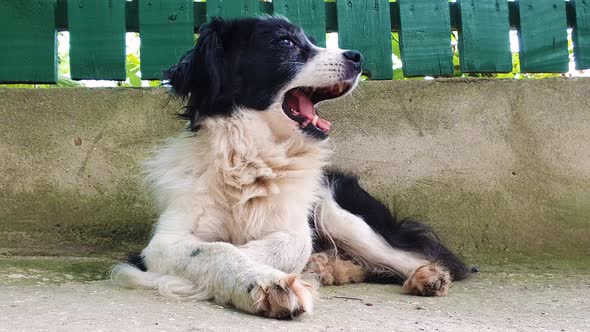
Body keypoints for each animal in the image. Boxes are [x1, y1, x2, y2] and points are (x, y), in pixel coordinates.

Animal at [112, 15, 472, 320]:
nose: (358, 57)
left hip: (340, 214)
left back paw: (426, 276)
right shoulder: (163, 242)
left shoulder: (294, 224)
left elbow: (294, 244)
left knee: (424, 259)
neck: (251, 160)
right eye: (285, 42)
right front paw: (261, 281)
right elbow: (215, 249)